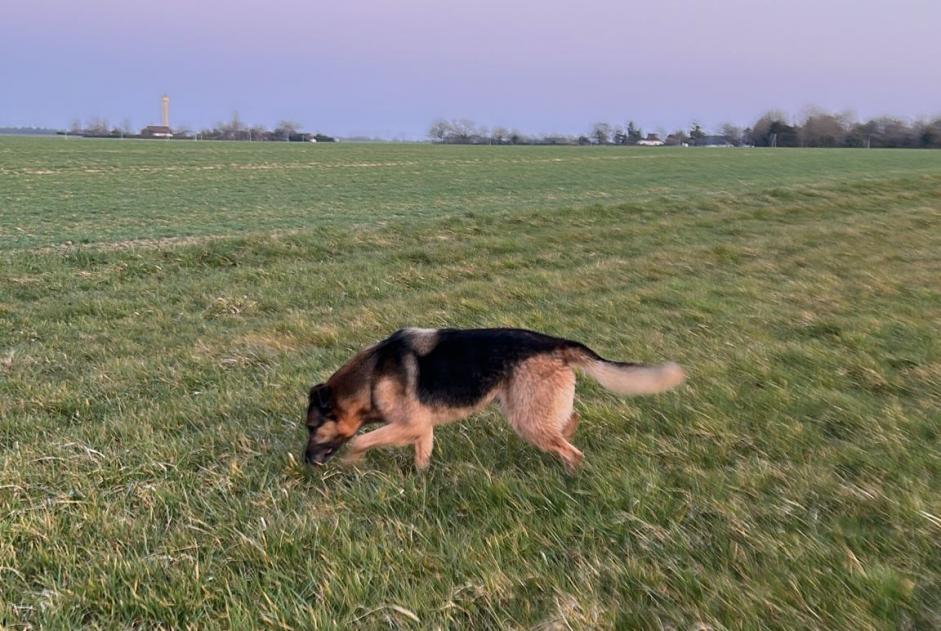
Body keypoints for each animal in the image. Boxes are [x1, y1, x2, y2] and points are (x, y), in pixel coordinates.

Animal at [306, 328, 684, 472]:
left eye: (312, 428)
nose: (306, 460)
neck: (371, 377)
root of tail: (556, 344)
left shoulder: (408, 424)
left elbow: (361, 440)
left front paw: (352, 461)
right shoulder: (421, 428)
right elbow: (422, 456)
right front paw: (421, 481)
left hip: (525, 419)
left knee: (570, 449)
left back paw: (570, 473)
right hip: (530, 409)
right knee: (568, 422)